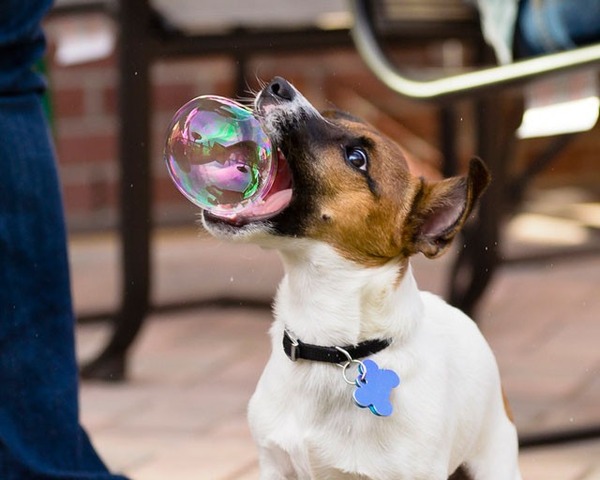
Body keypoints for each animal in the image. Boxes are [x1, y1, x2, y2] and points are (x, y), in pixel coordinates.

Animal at [202, 77, 520, 478]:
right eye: (330, 115)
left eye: (357, 158)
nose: (278, 85)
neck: (329, 345)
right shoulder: (274, 464)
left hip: (495, 459)